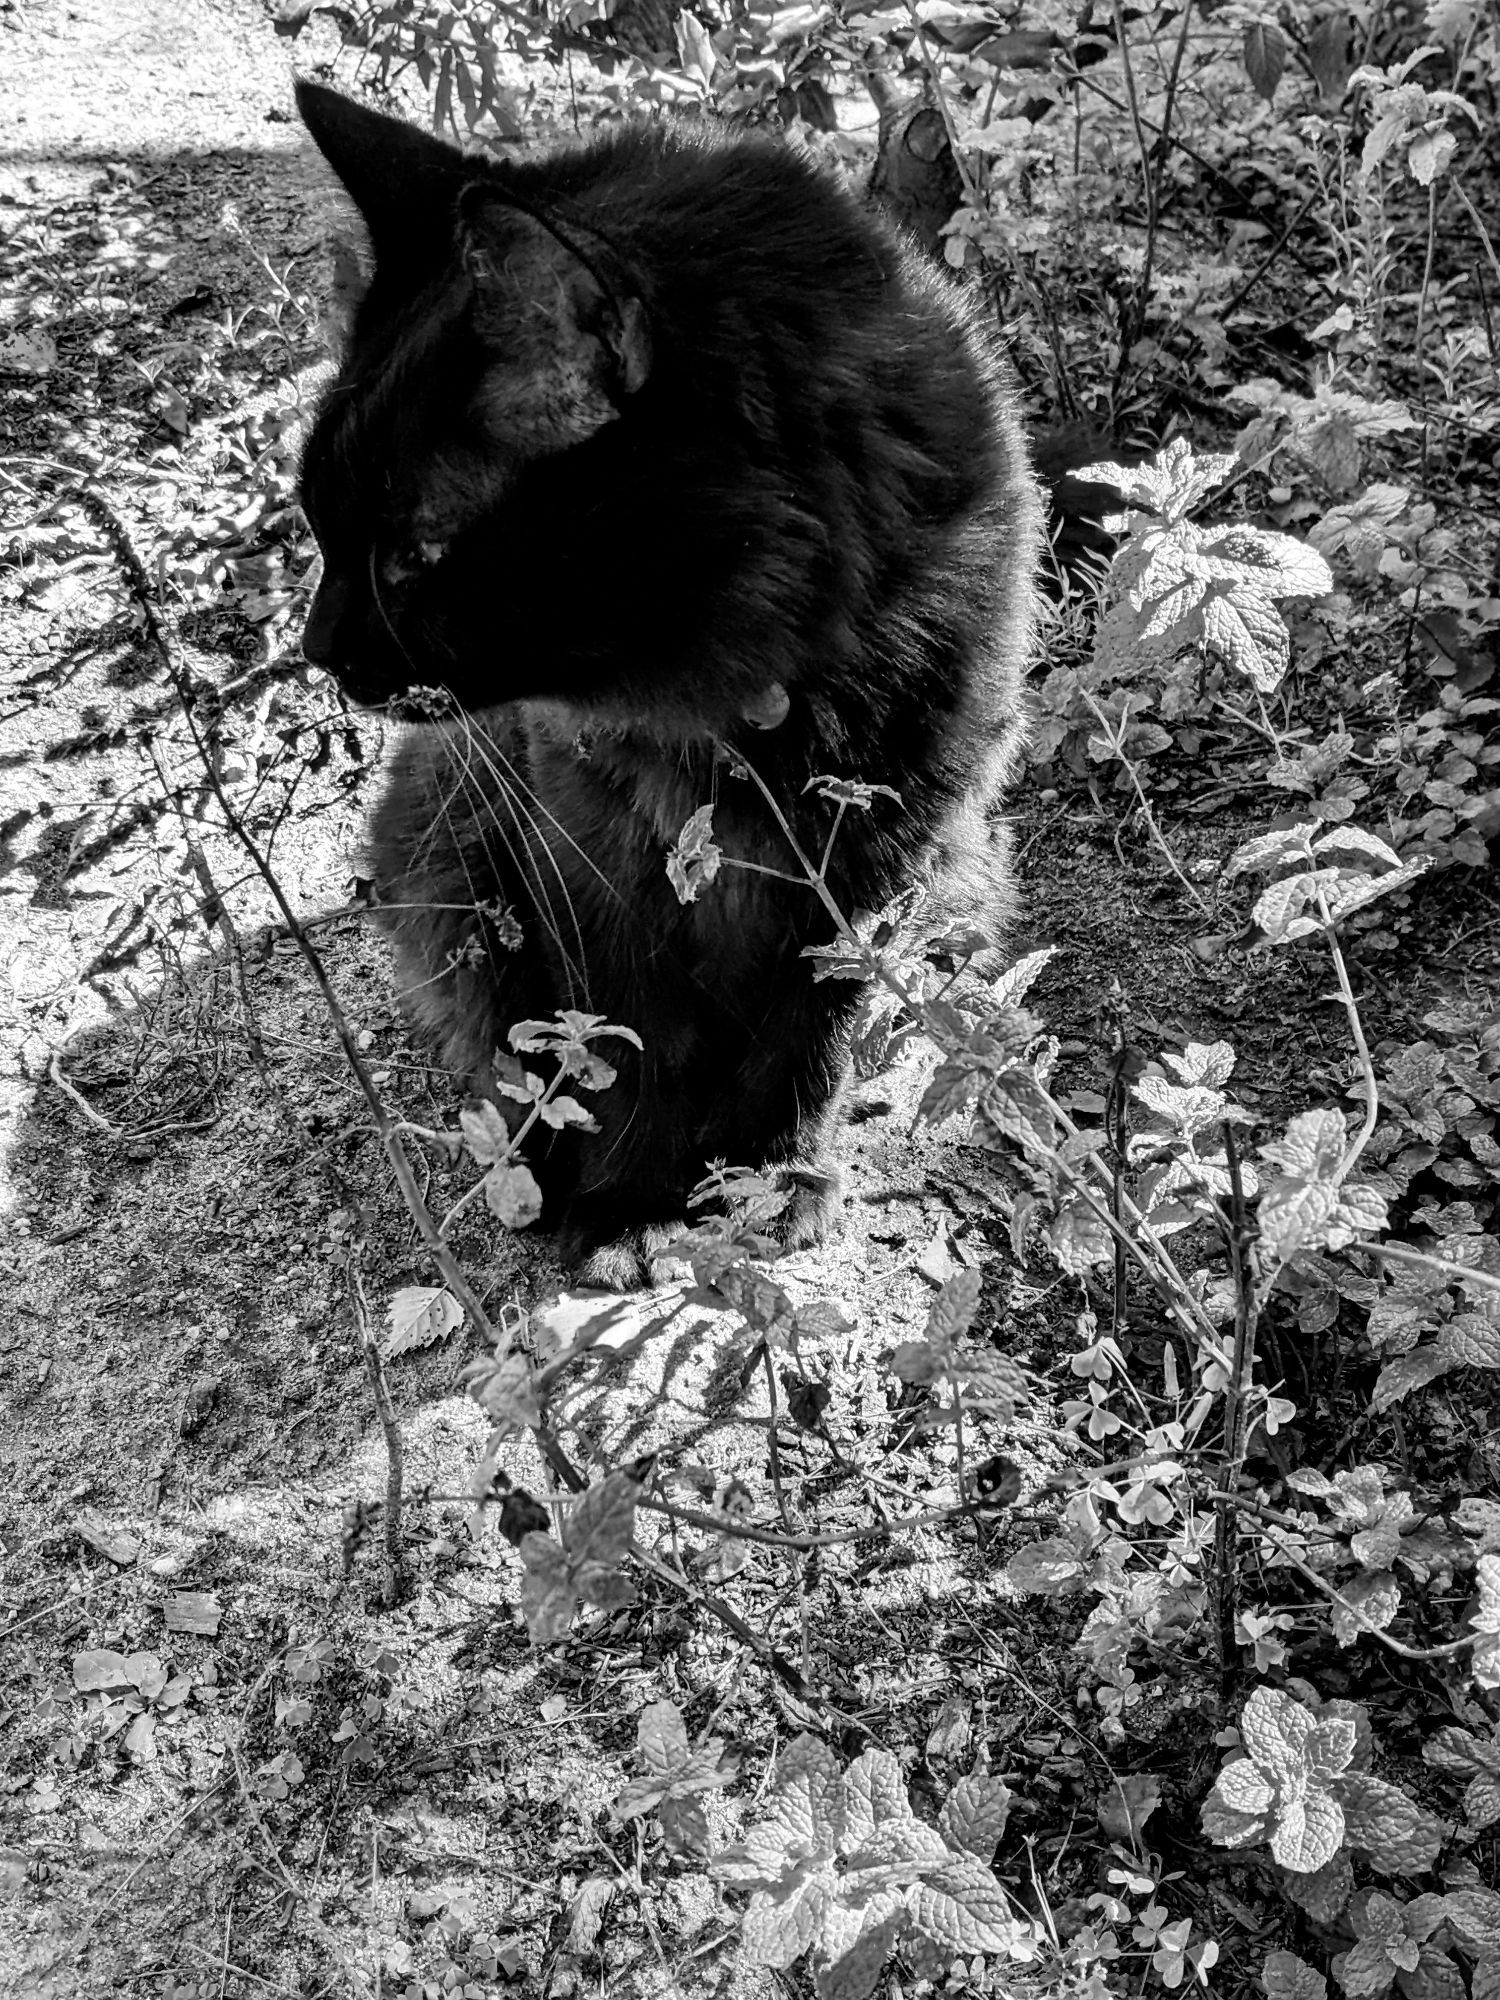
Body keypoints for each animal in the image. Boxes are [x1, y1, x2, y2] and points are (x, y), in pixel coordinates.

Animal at [296, 82, 1048, 1280]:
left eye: (416, 555)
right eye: (318, 525)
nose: (319, 648)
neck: (747, 707)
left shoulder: (872, 867)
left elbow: (809, 1042)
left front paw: (775, 1178)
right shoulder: (587, 854)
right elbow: (624, 1043)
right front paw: (631, 1205)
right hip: (450, 834)